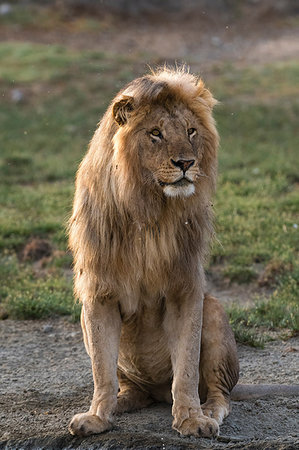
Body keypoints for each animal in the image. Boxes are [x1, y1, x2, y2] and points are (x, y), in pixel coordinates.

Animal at [68, 67, 239, 440]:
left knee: (218, 391)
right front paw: (96, 417)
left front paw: (191, 419)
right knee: (131, 386)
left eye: (191, 131)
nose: (186, 162)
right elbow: (102, 370)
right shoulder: (97, 293)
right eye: (155, 134)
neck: (149, 209)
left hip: (214, 309)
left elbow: (186, 367)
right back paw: (122, 402)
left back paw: (209, 411)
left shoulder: (186, 290)